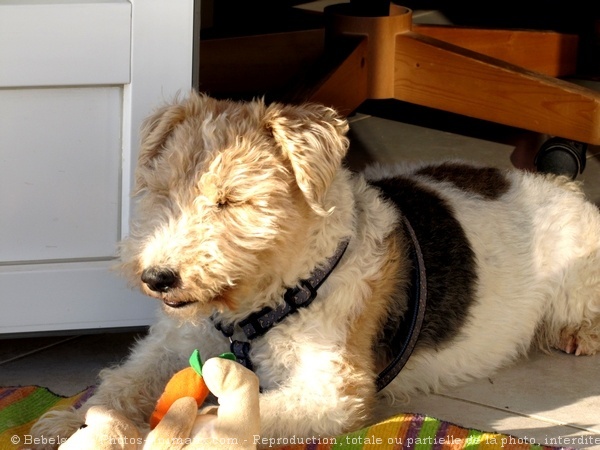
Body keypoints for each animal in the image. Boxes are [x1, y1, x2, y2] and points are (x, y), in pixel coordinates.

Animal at [32, 92, 600, 446]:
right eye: (161, 193)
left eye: (232, 200)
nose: (157, 278)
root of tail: (561, 186)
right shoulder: (172, 343)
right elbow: (117, 385)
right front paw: (71, 421)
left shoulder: (331, 390)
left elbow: (228, 420)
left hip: (575, 279)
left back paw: (577, 333)